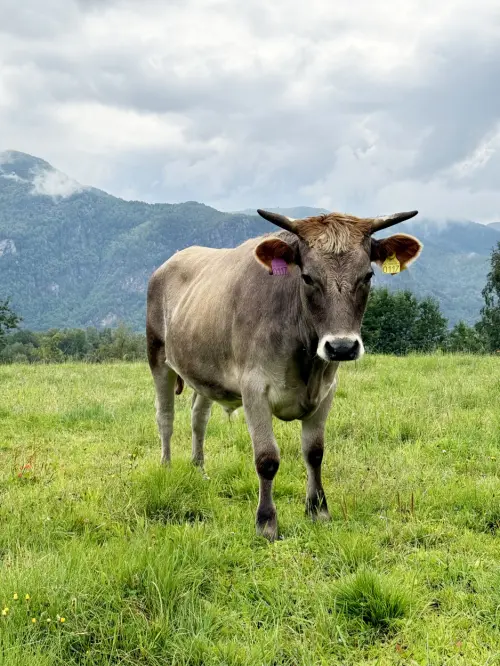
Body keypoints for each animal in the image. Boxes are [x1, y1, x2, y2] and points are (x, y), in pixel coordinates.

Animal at [146, 208, 423, 540]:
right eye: (307, 277)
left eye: (367, 276)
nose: (341, 347)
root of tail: (172, 260)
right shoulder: (253, 388)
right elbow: (267, 458)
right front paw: (266, 523)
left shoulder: (327, 389)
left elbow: (314, 452)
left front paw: (318, 511)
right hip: (157, 355)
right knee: (165, 417)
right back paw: (166, 467)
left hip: (205, 372)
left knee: (198, 418)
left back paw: (199, 471)